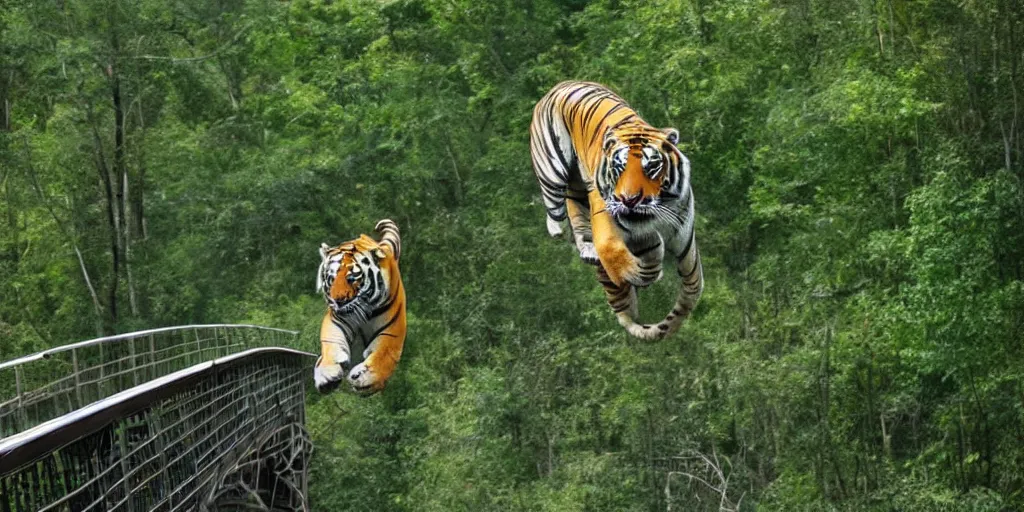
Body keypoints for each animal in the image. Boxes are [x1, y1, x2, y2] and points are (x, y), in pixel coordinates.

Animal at [528, 80, 704, 339]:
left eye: (652, 165)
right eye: (619, 166)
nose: (629, 200)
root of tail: (561, 85)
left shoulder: (684, 238)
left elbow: (691, 287)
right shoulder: (609, 229)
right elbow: (624, 258)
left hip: (578, 186)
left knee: (576, 213)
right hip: (553, 173)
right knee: (557, 215)